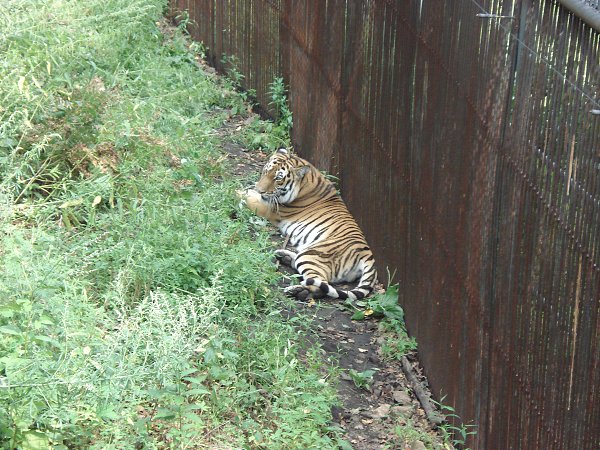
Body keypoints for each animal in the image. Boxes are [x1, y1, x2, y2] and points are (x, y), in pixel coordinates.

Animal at [237, 148, 377, 300]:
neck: (306, 181)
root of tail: (368, 255)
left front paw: (233, 191)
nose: (260, 190)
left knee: (320, 284)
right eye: (265, 171)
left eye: (278, 178)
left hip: (311, 256)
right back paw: (284, 256)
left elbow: (245, 195)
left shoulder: (269, 207)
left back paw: (297, 290)